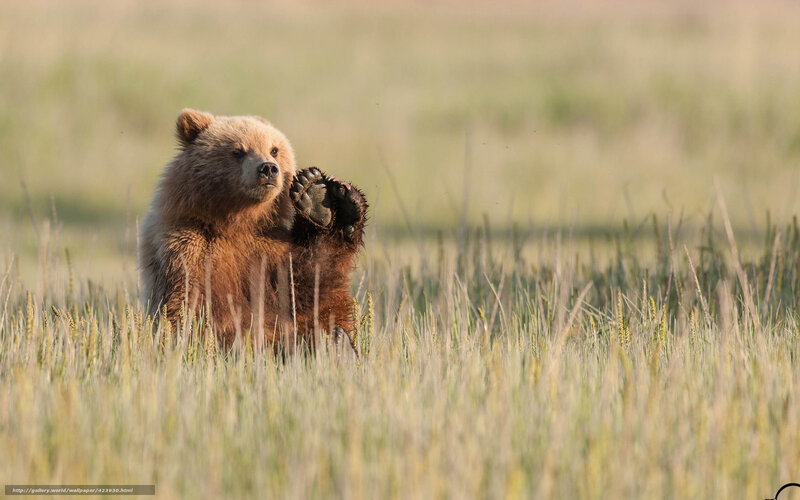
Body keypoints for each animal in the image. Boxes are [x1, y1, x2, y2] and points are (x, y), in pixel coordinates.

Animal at [138, 109, 367, 352]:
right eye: (238, 151)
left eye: (274, 149)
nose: (268, 168)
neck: (236, 222)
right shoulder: (188, 248)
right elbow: (191, 306)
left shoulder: (270, 250)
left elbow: (308, 291)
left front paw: (315, 194)